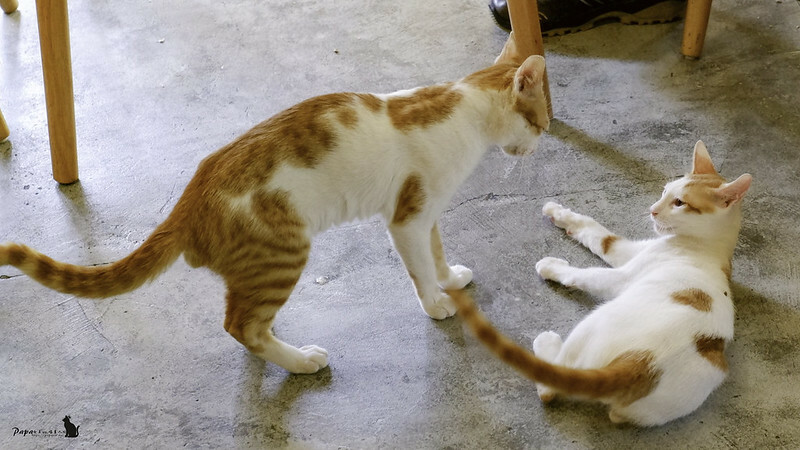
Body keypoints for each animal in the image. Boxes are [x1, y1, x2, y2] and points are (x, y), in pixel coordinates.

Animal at [0, 40, 550, 374]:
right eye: (542, 121)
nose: (541, 141)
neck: (466, 112)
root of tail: (190, 197)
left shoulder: (428, 213)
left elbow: (437, 254)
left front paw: (451, 280)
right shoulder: (407, 218)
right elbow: (419, 268)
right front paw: (436, 304)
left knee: (242, 316)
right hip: (286, 249)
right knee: (239, 326)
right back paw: (302, 361)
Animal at [453, 141, 752, 426]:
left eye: (679, 203)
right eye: (664, 191)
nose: (652, 211)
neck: (710, 248)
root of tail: (637, 365)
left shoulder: (623, 276)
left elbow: (586, 272)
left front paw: (552, 267)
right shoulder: (626, 251)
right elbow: (598, 233)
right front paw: (558, 213)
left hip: (594, 323)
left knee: (550, 387)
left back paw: (546, 344)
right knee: (615, 415)